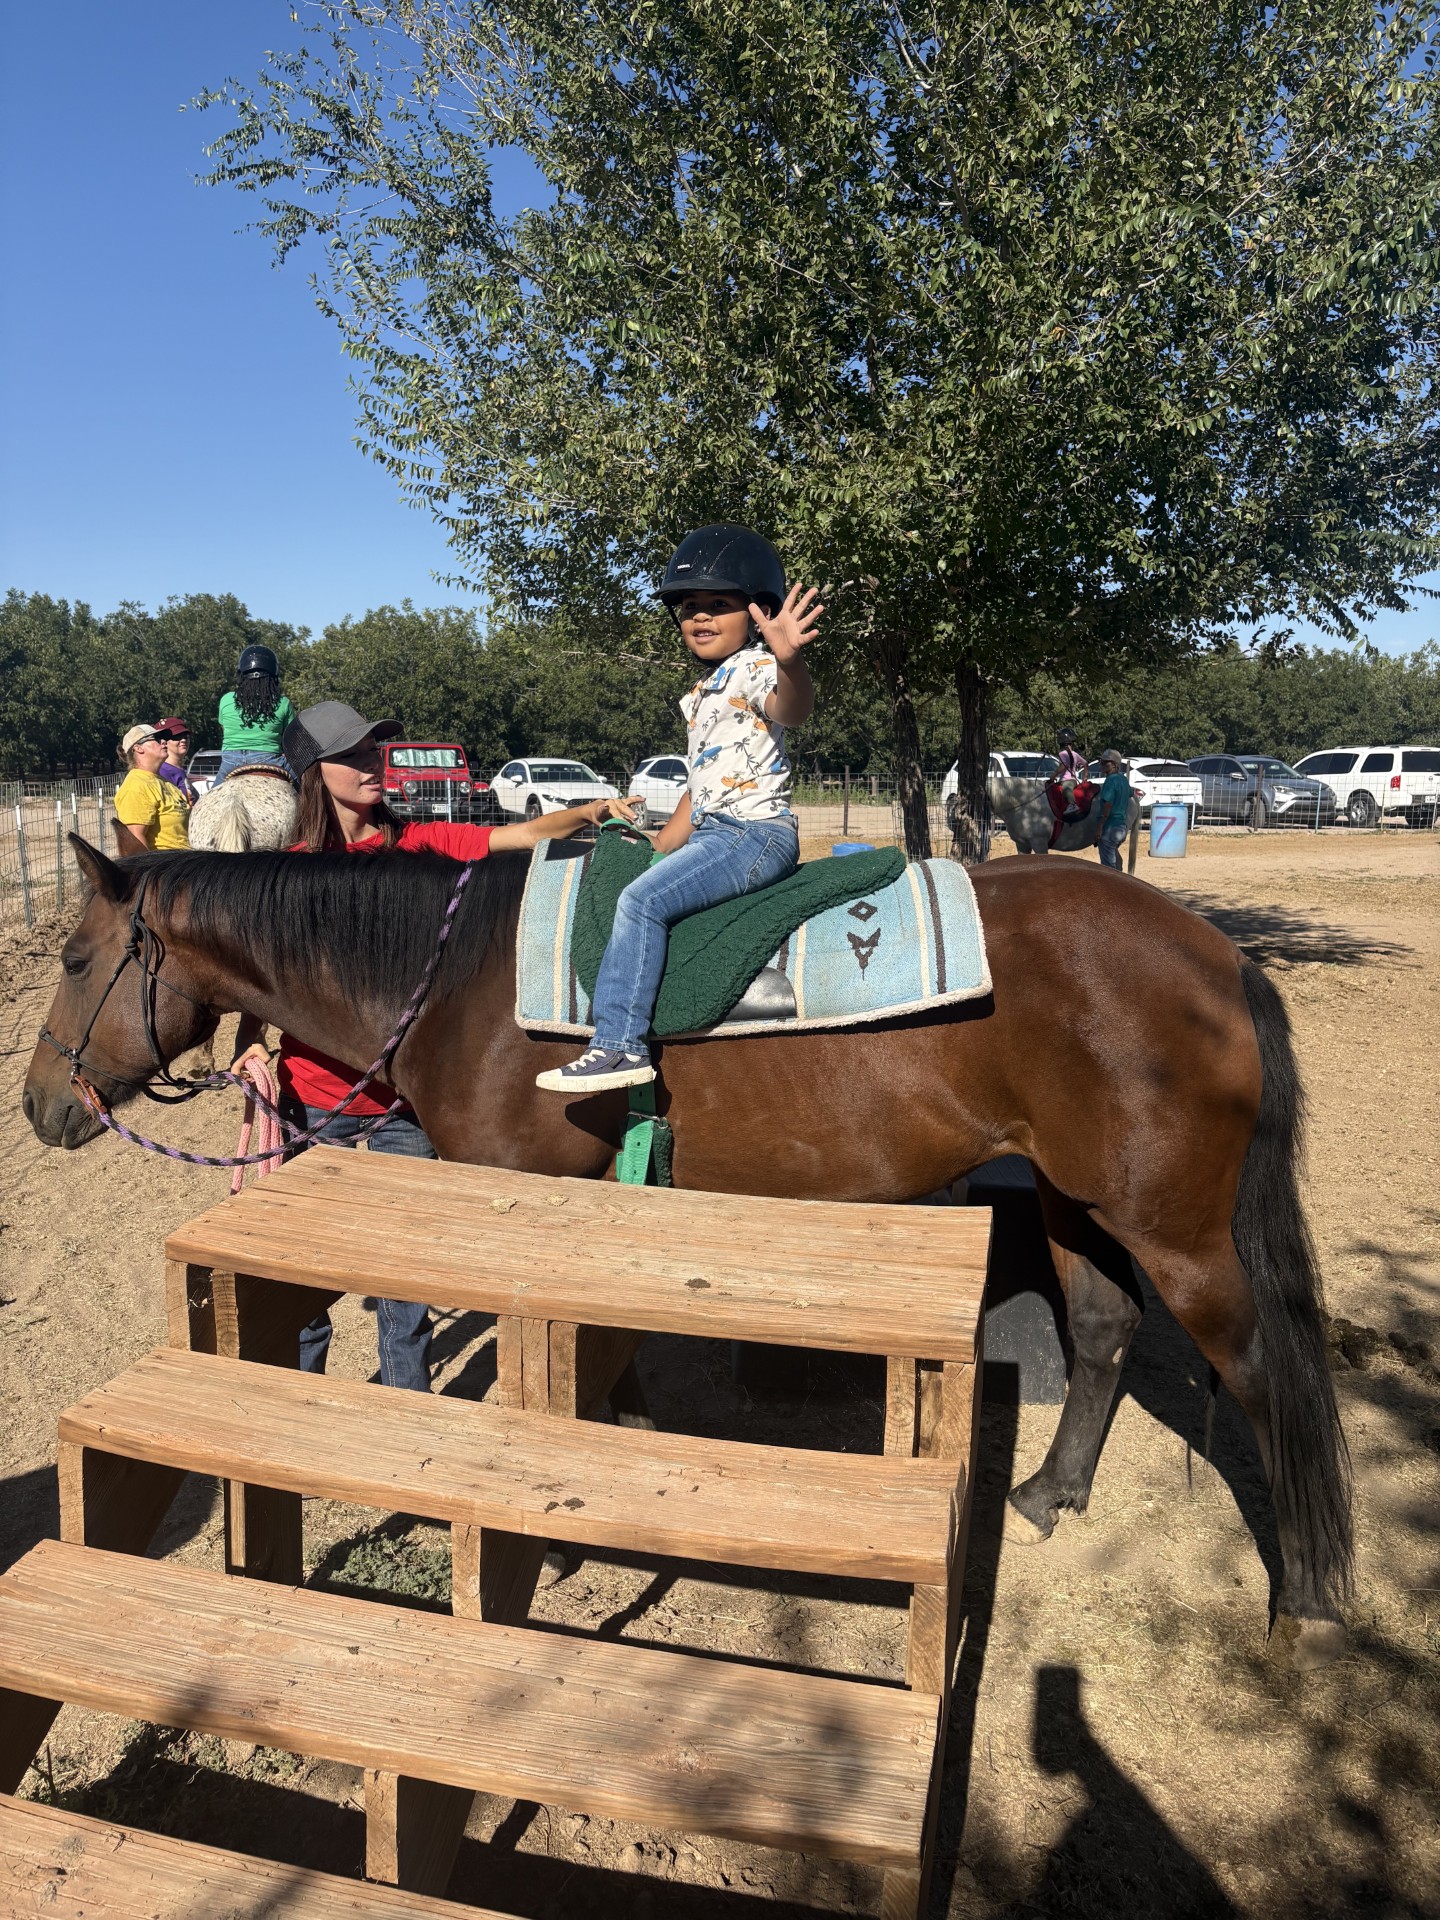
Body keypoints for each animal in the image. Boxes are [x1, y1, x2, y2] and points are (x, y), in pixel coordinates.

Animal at [22, 838, 1352, 1670]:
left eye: (79, 962)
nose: (41, 1106)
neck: (458, 985)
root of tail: (1219, 953)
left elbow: (557, 1383)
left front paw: (559, 1536)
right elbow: (603, 1368)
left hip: (1176, 1231)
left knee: (1268, 1376)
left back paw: (1305, 1601)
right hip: (1079, 1200)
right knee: (1107, 1332)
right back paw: (1046, 1494)